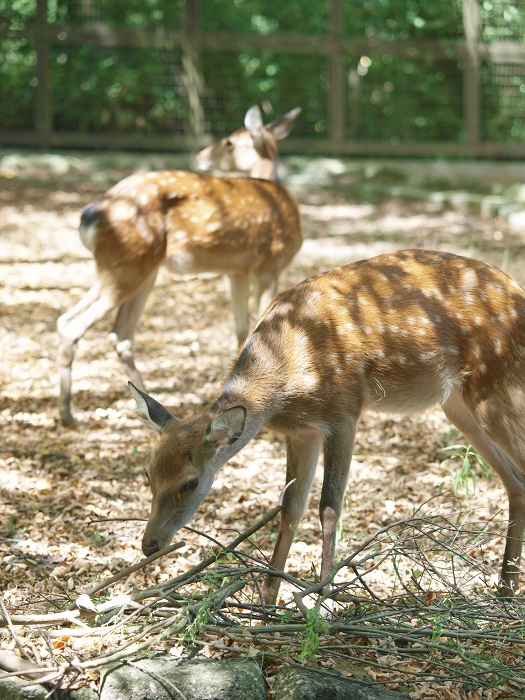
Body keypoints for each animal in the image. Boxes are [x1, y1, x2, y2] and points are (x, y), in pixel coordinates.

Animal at [56, 106, 302, 426]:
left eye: (228, 142)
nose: (199, 156)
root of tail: (89, 217)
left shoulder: (237, 270)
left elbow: (241, 328)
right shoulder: (270, 264)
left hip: (133, 268)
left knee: (114, 332)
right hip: (127, 264)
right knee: (74, 325)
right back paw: (67, 413)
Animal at [129, 249, 524, 604]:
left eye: (190, 482)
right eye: (148, 474)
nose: (150, 544)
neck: (284, 375)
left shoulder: (344, 412)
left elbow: (330, 506)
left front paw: (323, 600)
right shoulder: (301, 431)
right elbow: (290, 507)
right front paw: (268, 602)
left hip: (496, 386)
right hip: (457, 403)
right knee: (515, 481)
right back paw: (505, 589)